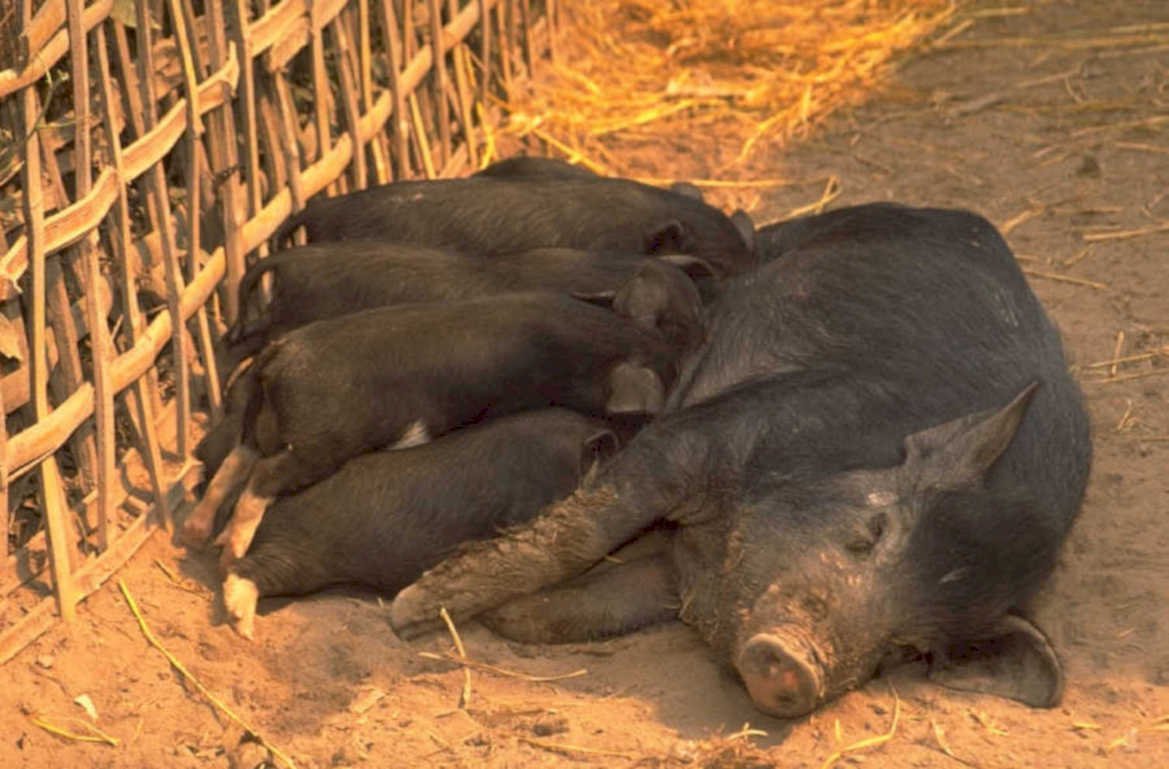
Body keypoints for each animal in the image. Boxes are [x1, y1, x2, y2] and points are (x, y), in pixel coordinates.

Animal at [183, 292, 678, 566]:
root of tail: (279, 354)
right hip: (317, 444)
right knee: (262, 476)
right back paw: (230, 550)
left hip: (259, 422)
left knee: (236, 461)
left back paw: (198, 534)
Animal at [388, 203, 1092, 718]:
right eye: (871, 533)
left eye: (907, 649)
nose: (798, 668)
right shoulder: (713, 433)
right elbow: (584, 530)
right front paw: (413, 611)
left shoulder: (682, 573)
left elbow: (610, 602)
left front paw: (503, 620)